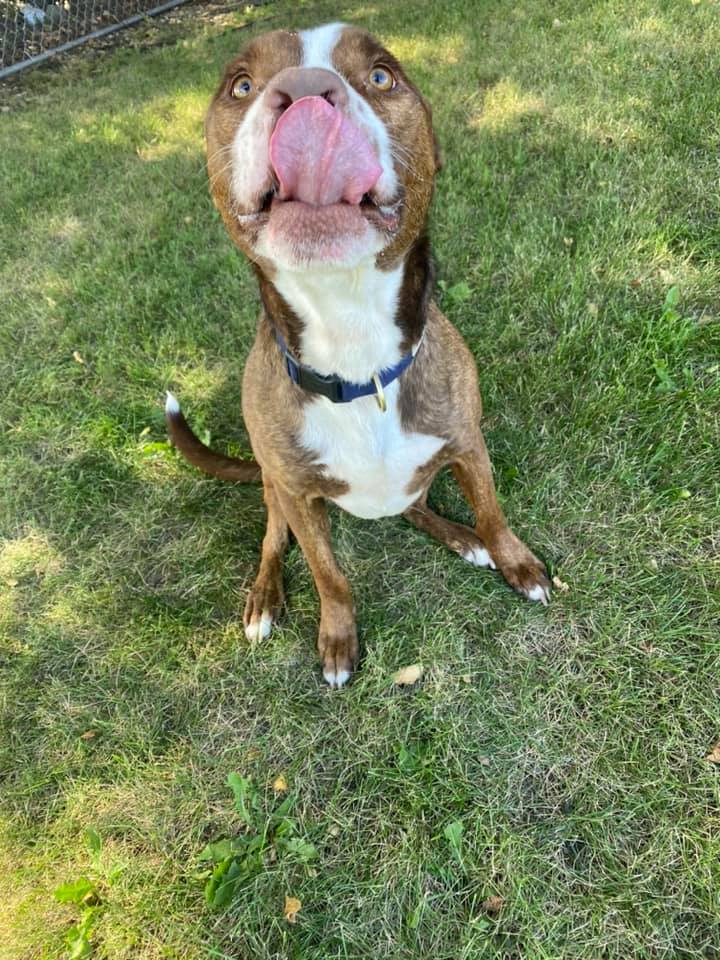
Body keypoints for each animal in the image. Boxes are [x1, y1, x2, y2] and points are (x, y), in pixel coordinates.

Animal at [167, 20, 552, 684]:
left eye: (380, 76)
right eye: (241, 85)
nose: (304, 91)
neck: (354, 347)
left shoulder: (469, 443)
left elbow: (493, 513)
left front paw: (514, 562)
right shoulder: (298, 495)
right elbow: (329, 576)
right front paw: (338, 638)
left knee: (416, 507)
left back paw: (462, 539)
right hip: (272, 485)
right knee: (272, 540)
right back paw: (264, 597)